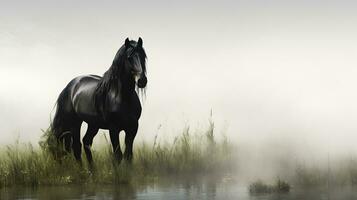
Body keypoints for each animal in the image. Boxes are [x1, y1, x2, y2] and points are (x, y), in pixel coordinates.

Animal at [50, 38, 147, 166]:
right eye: (129, 57)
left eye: (143, 56)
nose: (142, 81)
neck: (122, 97)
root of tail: (69, 87)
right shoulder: (114, 129)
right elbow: (118, 155)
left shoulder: (133, 127)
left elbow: (128, 155)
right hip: (74, 123)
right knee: (76, 147)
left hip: (93, 124)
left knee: (86, 142)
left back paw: (92, 169)